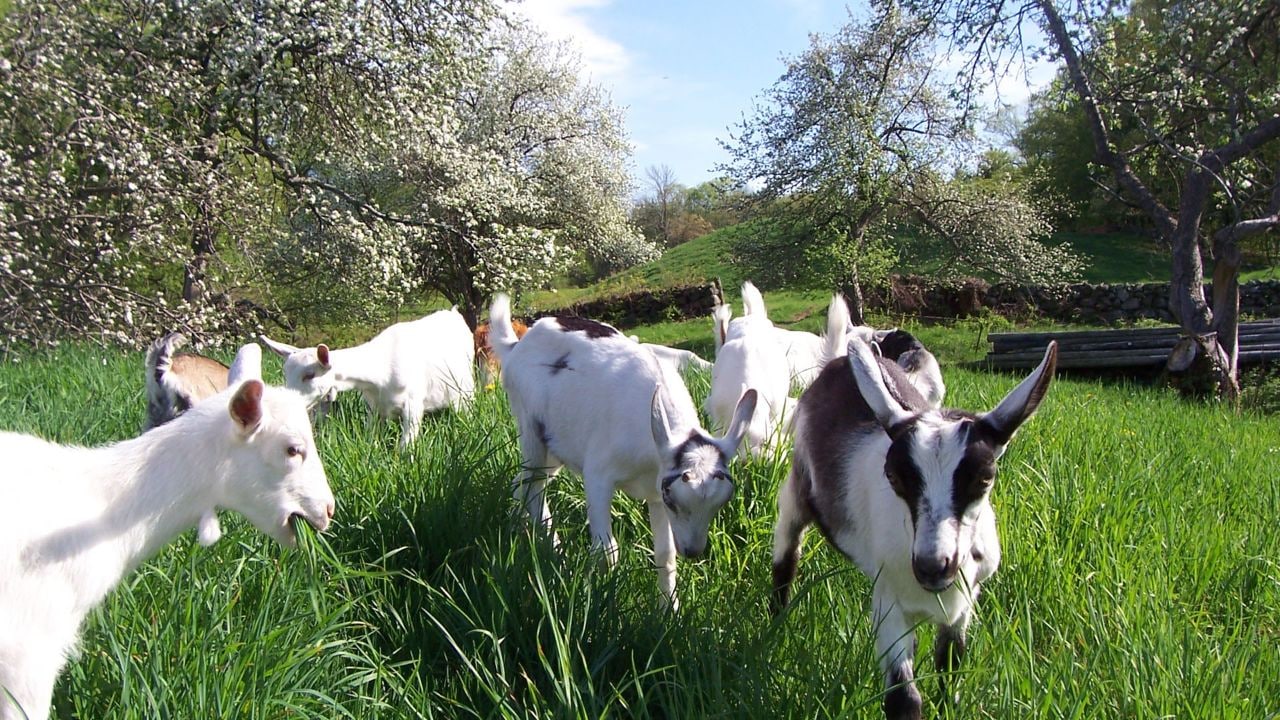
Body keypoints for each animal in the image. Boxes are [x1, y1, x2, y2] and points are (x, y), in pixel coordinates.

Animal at [259, 304, 476, 445]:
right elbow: (371, 438)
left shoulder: (413, 404)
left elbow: (406, 444)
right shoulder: (374, 408)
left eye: (310, 375)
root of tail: (453, 312)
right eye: (286, 373)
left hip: (465, 390)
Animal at [483, 294, 752, 607]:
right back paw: (558, 557)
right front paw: (601, 602)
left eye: (720, 504)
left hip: (555, 447)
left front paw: (669, 611)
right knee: (533, 489)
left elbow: (665, 556)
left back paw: (523, 534)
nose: (693, 551)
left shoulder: (654, 490)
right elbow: (607, 551)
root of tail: (515, 345)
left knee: (522, 485)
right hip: (530, 431)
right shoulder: (599, 476)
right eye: (673, 500)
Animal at [768, 335, 1059, 717]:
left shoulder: (965, 600)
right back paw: (775, 626)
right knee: (786, 554)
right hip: (796, 489)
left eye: (984, 477)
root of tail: (836, 362)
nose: (933, 566)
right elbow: (904, 699)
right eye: (893, 476)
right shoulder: (888, 600)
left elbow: (951, 664)